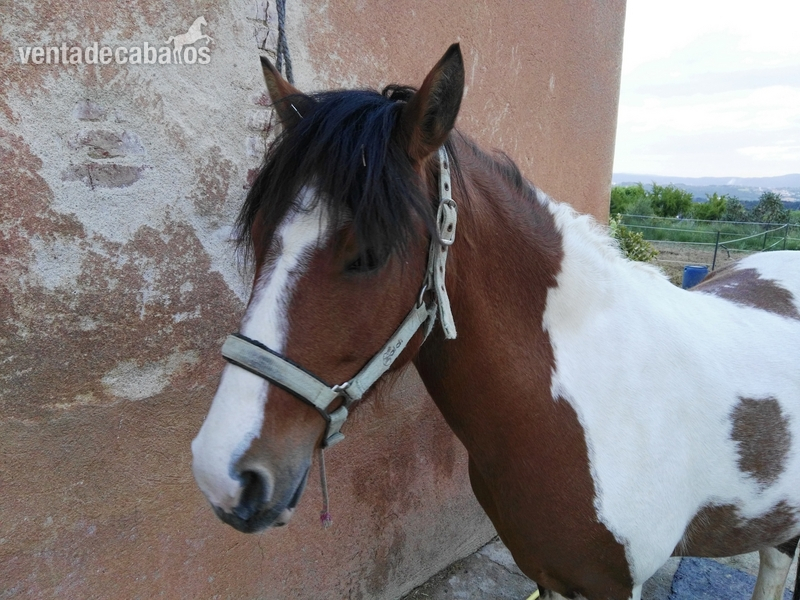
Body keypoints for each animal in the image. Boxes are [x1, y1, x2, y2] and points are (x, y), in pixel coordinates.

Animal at [191, 44, 800, 600]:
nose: (223, 473)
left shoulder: (614, 585)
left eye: (369, 254)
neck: (587, 398)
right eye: (260, 234)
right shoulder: (547, 572)